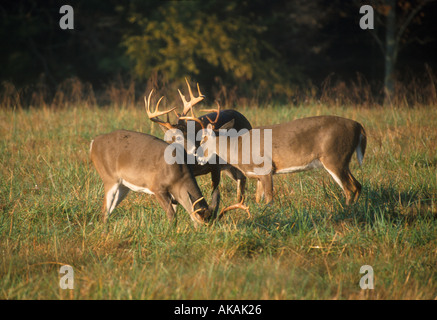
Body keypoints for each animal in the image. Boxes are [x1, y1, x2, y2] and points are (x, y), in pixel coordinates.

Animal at [89, 94, 214, 225]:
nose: (197, 148)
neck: (179, 173)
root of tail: (93, 143)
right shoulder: (157, 187)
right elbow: (171, 215)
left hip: (123, 186)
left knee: (109, 211)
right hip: (109, 178)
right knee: (104, 211)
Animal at [145, 78, 250, 216]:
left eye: (188, 133)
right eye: (176, 138)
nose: (195, 150)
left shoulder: (215, 166)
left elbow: (214, 191)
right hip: (229, 167)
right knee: (240, 178)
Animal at [199, 115, 366, 208]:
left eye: (202, 139)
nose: (198, 157)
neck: (238, 149)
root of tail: (358, 126)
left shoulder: (266, 168)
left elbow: (269, 200)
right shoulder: (258, 175)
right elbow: (258, 199)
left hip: (334, 157)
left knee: (350, 188)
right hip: (343, 161)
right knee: (358, 185)